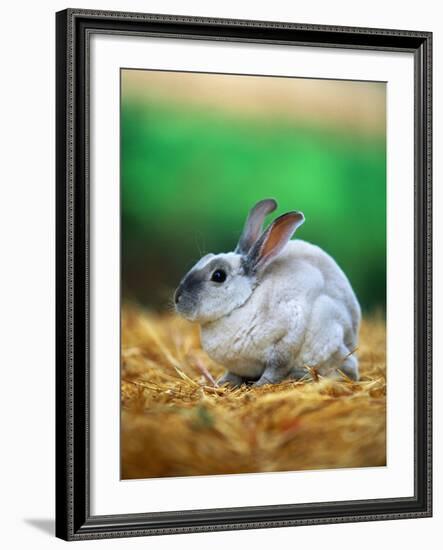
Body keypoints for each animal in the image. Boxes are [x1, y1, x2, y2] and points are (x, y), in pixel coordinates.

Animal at [173, 199, 360, 388]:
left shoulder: (287, 338)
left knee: (347, 369)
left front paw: (260, 385)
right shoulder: (237, 366)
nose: (177, 298)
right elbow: (233, 374)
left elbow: (276, 368)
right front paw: (223, 383)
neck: (245, 302)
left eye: (219, 275)